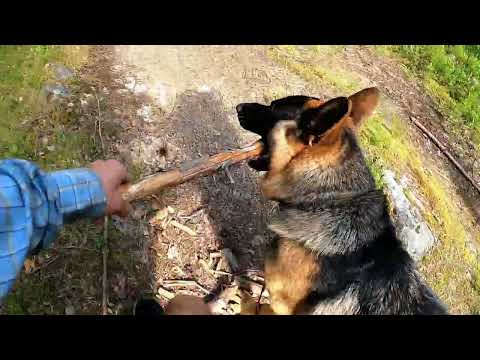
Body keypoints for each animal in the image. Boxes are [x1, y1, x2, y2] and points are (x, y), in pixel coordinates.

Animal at [234, 88, 448, 316]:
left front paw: (245, 302)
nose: (238, 107)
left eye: (273, 108)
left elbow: (262, 306)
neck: (330, 199)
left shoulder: (281, 306)